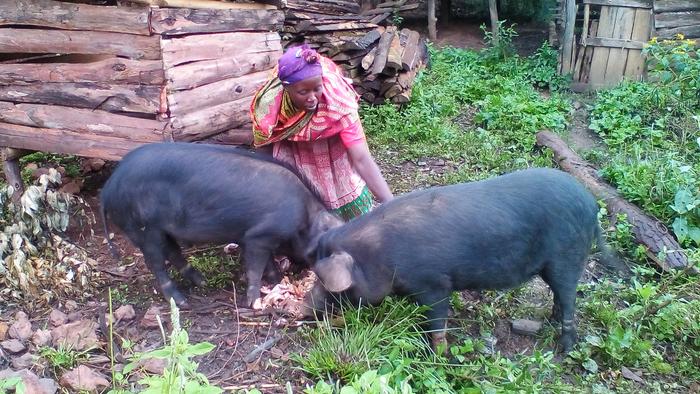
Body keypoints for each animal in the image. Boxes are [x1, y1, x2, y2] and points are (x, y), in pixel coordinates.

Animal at [101, 142, 342, 308]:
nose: (304, 273)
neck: (304, 218)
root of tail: (108, 187)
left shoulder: (251, 238)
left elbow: (267, 263)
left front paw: (276, 279)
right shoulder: (259, 236)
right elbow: (255, 268)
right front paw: (255, 303)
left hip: (161, 229)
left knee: (173, 251)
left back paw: (202, 282)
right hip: (143, 228)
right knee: (156, 262)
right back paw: (182, 302)